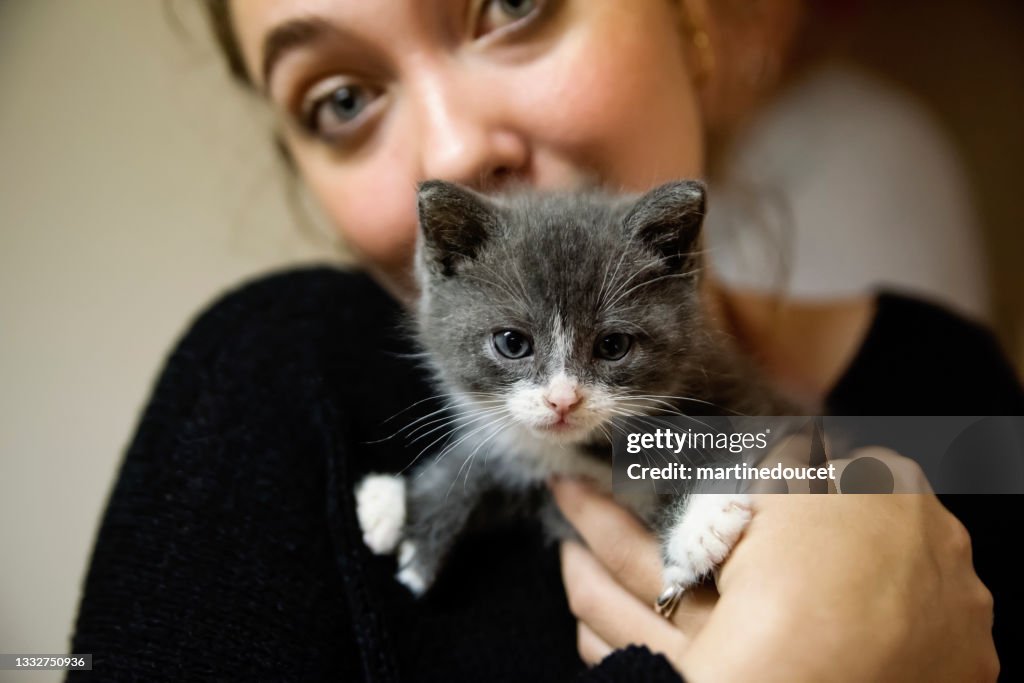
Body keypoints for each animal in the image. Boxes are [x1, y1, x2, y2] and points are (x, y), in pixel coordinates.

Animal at [356, 180, 794, 598]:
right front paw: (402, 504)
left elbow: (745, 433)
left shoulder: (749, 392)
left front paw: (700, 524)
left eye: (613, 346)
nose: (562, 399)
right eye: (512, 343)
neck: (592, 452)